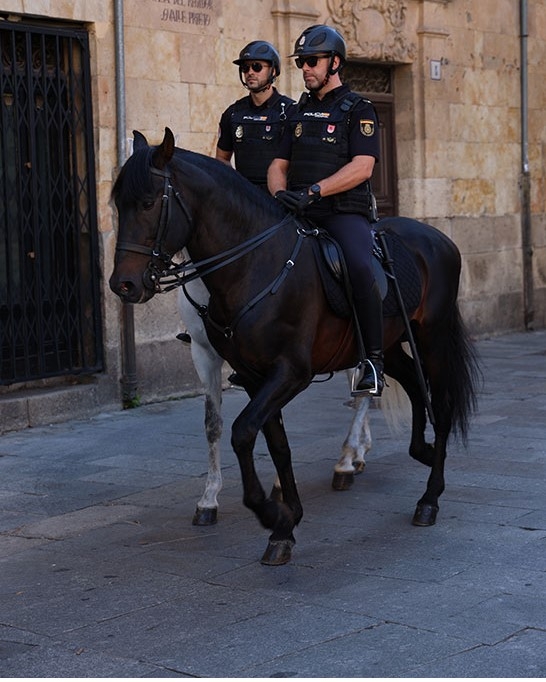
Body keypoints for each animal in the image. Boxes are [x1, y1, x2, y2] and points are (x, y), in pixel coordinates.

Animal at [109, 127, 476, 564]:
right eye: (117, 204)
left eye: (148, 203)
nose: (123, 285)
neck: (254, 264)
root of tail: (438, 238)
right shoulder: (249, 373)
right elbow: (269, 440)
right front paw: (284, 520)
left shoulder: (291, 372)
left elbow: (243, 431)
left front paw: (270, 511)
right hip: (387, 342)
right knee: (411, 386)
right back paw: (416, 449)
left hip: (430, 338)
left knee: (434, 403)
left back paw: (423, 495)